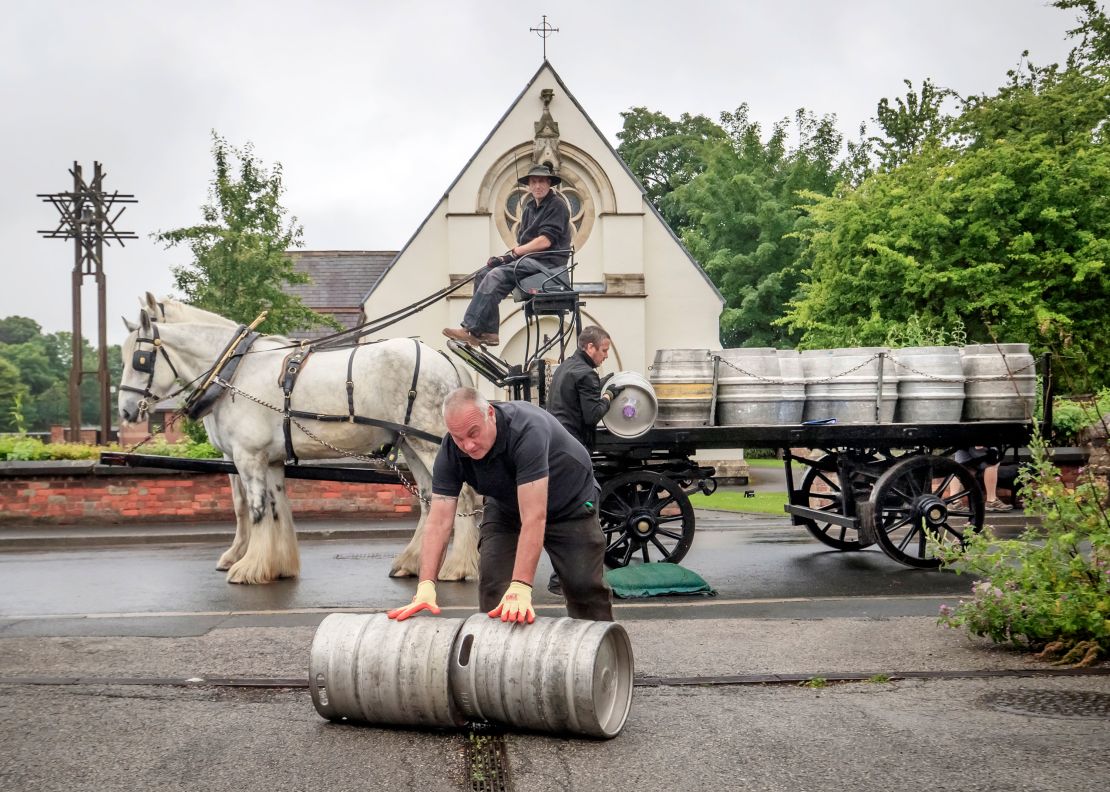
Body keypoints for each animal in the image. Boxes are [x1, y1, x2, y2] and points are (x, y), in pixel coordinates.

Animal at [119, 301, 479, 581]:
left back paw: (457, 568)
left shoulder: (247, 456)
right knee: (431, 499)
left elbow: (256, 510)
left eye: (140, 359)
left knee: (461, 498)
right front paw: (276, 565)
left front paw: (246, 567)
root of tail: (445, 360)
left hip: (429, 442)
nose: (125, 409)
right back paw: (413, 562)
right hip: (410, 443)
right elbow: (276, 509)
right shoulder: (269, 459)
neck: (236, 370)